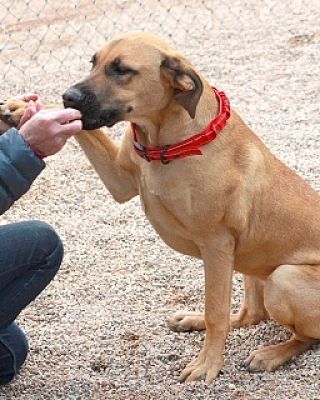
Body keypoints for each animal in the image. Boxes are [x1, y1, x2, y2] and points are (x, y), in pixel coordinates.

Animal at [1, 32, 318, 382]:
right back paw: (194, 320)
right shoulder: (120, 180)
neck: (163, 139)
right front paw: (23, 109)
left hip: (282, 277)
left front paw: (208, 364)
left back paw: (271, 354)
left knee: (305, 336)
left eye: (122, 69)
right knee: (251, 314)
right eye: (93, 62)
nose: (68, 95)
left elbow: (216, 313)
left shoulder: (216, 245)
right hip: (251, 261)